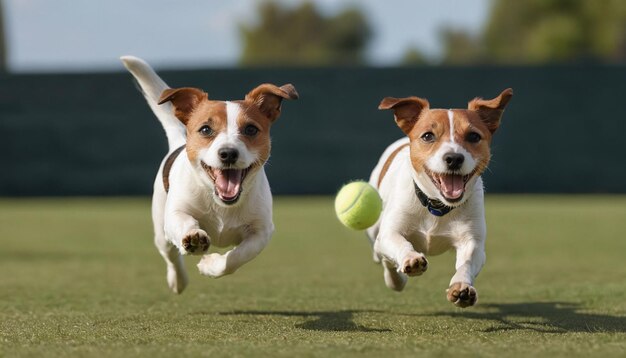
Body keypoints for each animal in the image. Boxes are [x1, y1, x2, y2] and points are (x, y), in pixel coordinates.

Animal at [123, 56, 298, 294]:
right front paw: (194, 239)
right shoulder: (175, 214)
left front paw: (211, 265)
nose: (228, 153)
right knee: (171, 256)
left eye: (251, 129)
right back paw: (178, 280)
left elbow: (238, 256)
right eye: (205, 129)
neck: (221, 203)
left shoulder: (261, 232)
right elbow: (185, 223)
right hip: (161, 230)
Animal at [364, 89, 510, 308]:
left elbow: (467, 263)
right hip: (374, 228)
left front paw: (462, 287)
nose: (454, 158)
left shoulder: (472, 242)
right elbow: (398, 243)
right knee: (380, 254)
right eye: (428, 136)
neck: (436, 206)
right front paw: (410, 259)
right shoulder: (390, 232)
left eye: (473, 136)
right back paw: (395, 278)